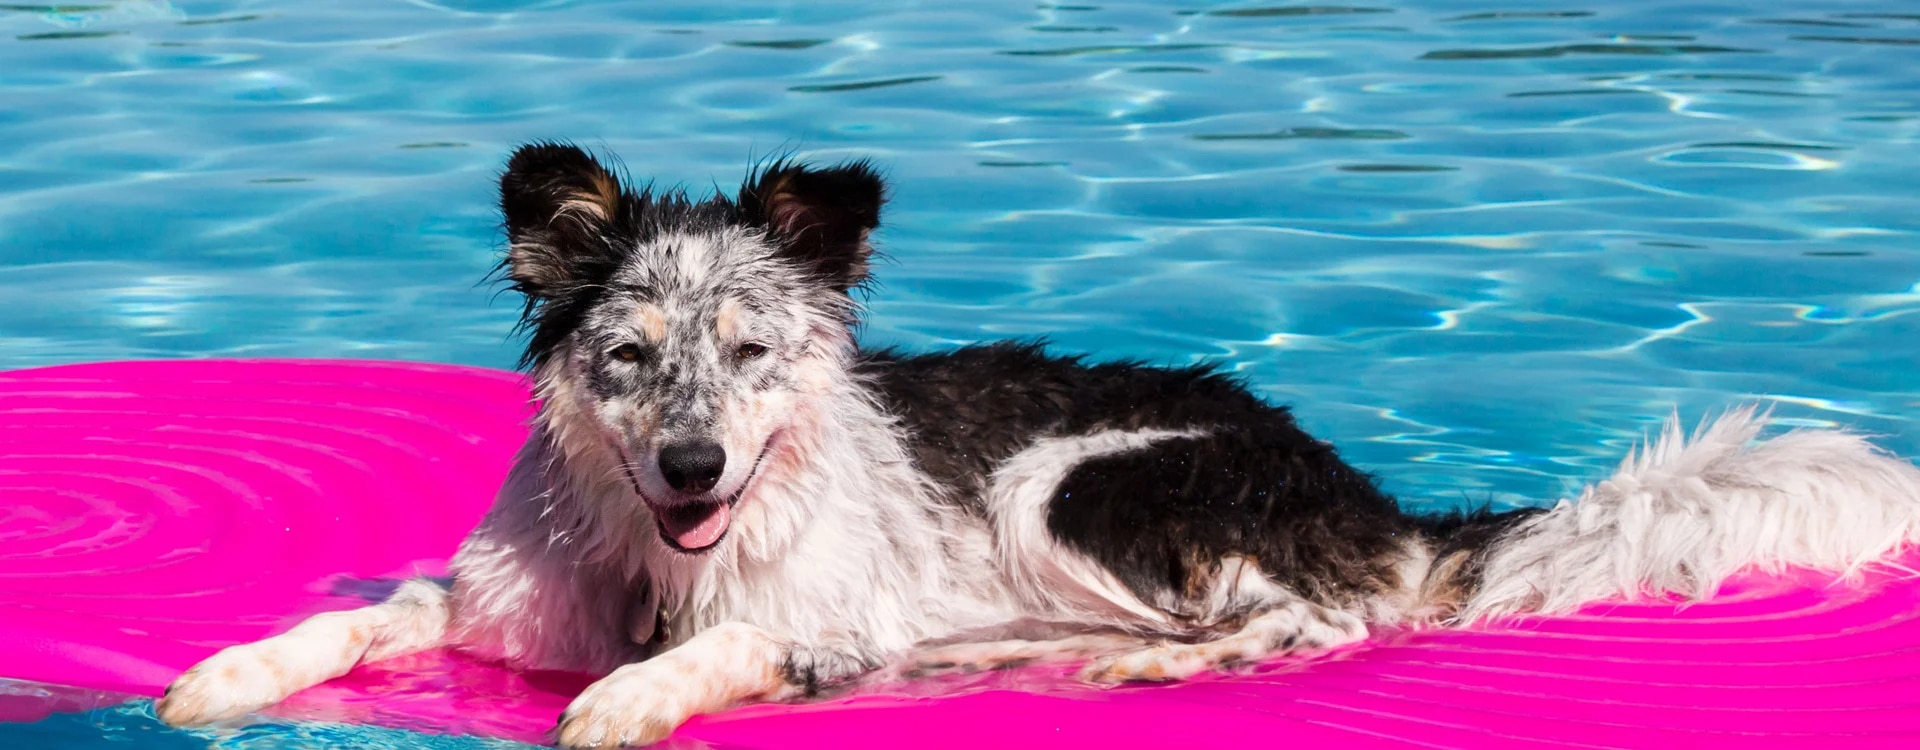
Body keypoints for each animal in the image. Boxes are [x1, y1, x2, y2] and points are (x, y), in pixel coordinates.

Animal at [153, 143, 1920, 748]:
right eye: (632, 357)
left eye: (755, 352)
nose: (694, 470)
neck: (666, 557)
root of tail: (1370, 495)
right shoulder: (500, 598)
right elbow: (350, 620)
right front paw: (227, 669)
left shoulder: (828, 626)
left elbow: (721, 652)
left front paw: (632, 696)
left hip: (1074, 481)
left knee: (1318, 622)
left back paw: (1144, 659)